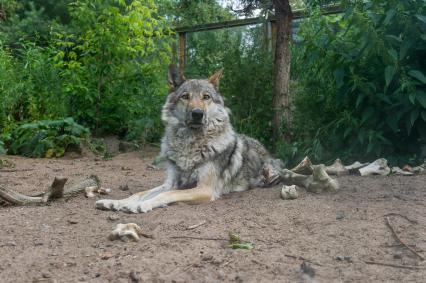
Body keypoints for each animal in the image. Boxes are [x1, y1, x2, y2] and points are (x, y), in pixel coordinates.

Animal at [95, 66, 336, 213]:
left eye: (206, 97)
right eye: (185, 97)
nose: (197, 114)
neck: (190, 144)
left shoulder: (204, 189)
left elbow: (167, 195)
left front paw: (141, 206)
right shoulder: (172, 181)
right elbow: (141, 192)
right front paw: (115, 202)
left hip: (268, 173)